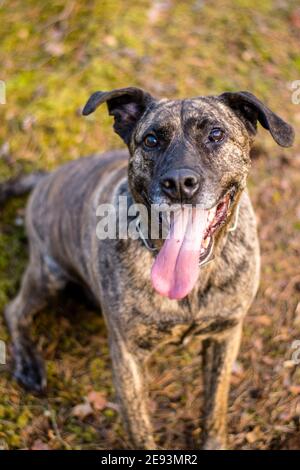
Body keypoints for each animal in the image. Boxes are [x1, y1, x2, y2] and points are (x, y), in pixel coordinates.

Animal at [1, 86, 292, 450]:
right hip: (48, 273)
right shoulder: (127, 356)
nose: (179, 183)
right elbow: (140, 429)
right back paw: (29, 363)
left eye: (216, 134)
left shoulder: (225, 336)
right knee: (15, 311)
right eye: (152, 140)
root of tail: (46, 177)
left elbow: (215, 408)